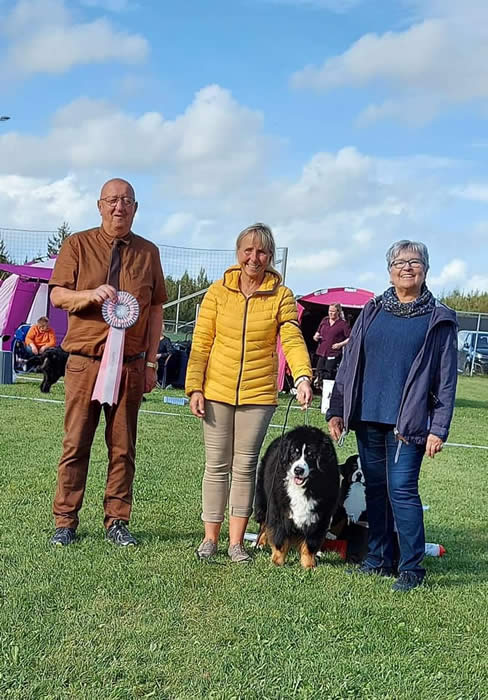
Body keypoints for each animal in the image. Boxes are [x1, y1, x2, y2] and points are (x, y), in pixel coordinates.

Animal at [255, 426, 340, 568]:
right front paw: (277, 562)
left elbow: (310, 543)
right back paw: (259, 543)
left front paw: (308, 565)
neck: (305, 486)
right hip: (263, 500)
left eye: (311, 455)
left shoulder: (319, 515)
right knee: (264, 524)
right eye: (294, 452)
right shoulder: (279, 511)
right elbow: (280, 537)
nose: (298, 470)